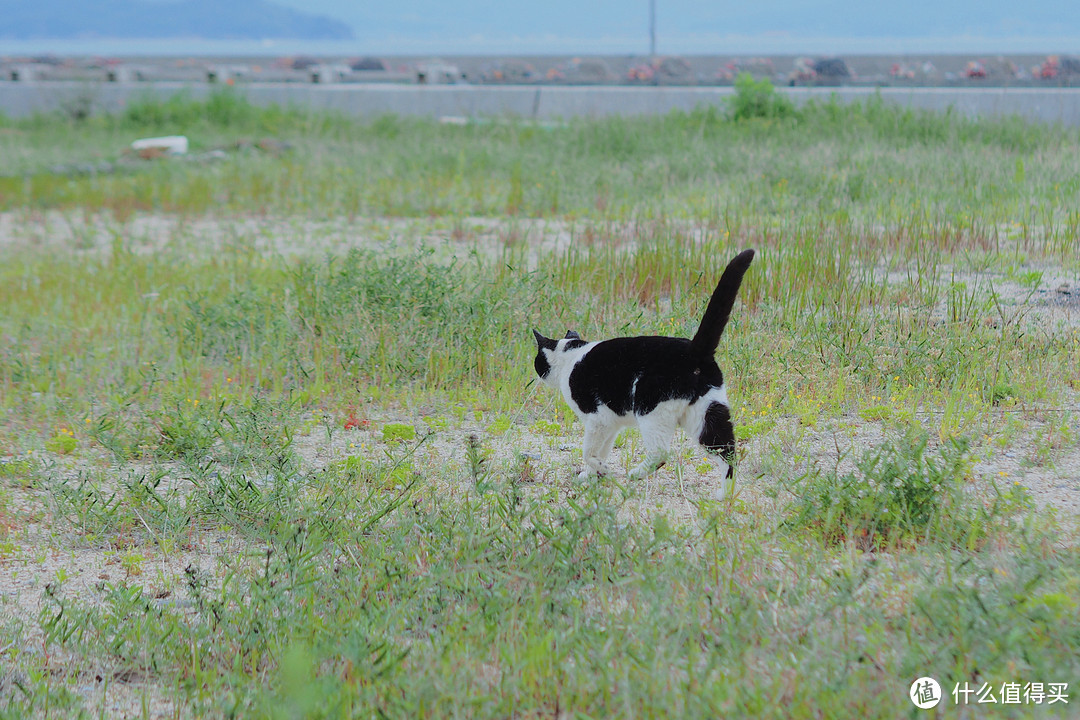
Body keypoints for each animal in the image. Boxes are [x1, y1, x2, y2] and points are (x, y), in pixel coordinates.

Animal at [529, 250, 751, 487]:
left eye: (537, 361)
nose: (537, 372)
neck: (569, 358)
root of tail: (695, 349)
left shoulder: (596, 419)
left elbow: (589, 452)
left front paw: (601, 470)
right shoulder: (610, 425)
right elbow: (603, 450)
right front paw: (592, 475)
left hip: (651, 409)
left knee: (661, 454)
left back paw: (635, 474)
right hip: (708, 412)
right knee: (728, 453)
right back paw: (725, 493)